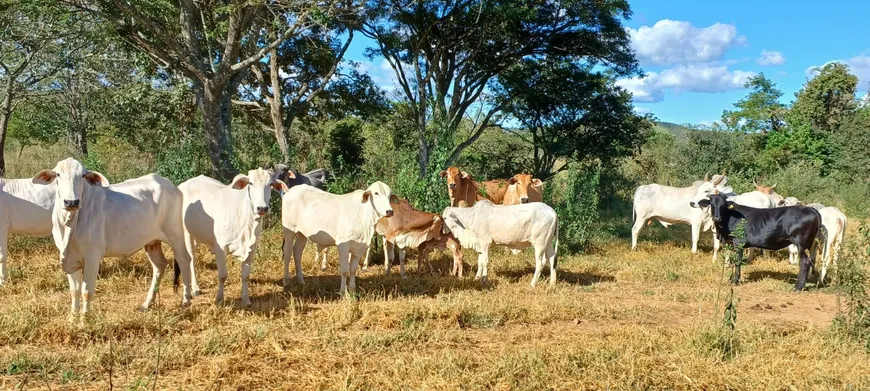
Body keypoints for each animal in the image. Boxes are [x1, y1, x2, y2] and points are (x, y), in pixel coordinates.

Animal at [32, 158, 194, 316]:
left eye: (83, 175)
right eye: (58, 174)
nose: (71, 202)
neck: (69, 224)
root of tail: (170, 185)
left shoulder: (92, 257)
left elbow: (86, 291)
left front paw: (85, 318)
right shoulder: (70, 258)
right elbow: (74, 291)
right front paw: (73, 317)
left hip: (175, 235)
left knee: (184, 260)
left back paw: (185, 300)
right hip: (152, 242)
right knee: (160, 265)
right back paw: (147, 304)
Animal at [180, 170, 290, 308]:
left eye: (270, 184)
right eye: (250, 183)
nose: (262, 208)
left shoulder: (251, 247)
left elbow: (245, 275)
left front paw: (246, 300)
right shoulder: (221, 247)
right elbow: (222, 275)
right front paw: (219, 299)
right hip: (186, 233)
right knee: (192, 259)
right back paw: (195, 288)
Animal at [692, 193, 820, 290]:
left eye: (723, 205)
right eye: (712, 204)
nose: (717, 218)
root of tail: (811, 209)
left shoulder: (739, 242)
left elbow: (737, 262)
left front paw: (735, 280)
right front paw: (731, 278)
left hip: (800, 243)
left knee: (805, 262)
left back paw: (798, 287)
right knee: (809, 261)